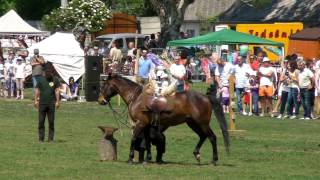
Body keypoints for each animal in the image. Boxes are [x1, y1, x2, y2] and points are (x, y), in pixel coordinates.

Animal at [99, 74, 229, 165]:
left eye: (104, 86)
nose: (100, 100)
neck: (137, 98)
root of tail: (206, 97)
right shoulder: (146, 125)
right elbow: (147, 142)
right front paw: (147, 159)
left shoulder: (140, 124)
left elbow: (134, 138)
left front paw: (130, 158)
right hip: (192, 123)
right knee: (203, 136)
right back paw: (196, 154)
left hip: (202, 123)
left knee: (212, 137)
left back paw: (214, 160)